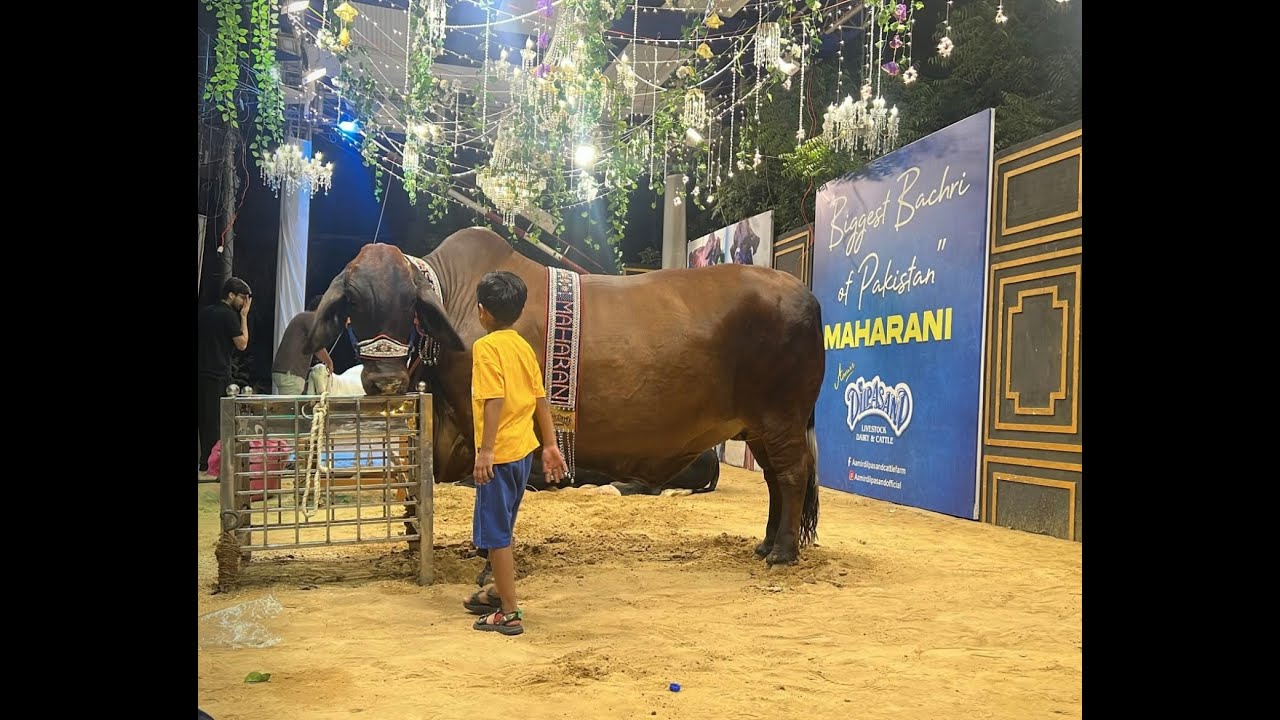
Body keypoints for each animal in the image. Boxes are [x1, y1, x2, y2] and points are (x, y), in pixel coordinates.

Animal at [305, 230, 824, 565]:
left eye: (409, 300)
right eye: (352, 302)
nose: (385, 382)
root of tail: (806, 295)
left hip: (782, 416)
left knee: (792, 474)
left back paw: (782, 551)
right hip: (758, 426)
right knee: (775, 480)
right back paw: (767, 543)